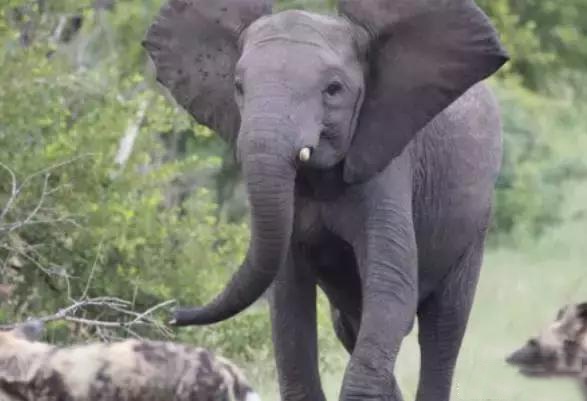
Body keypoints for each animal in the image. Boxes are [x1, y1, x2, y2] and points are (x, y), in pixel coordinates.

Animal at [144, 0, 510, 400]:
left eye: (333, 90)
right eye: (238, 87)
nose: (172, 314)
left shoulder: (387, 166)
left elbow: (391, 288)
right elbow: (288, 304)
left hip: (475, 225)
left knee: (443, 329)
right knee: (350, 323)